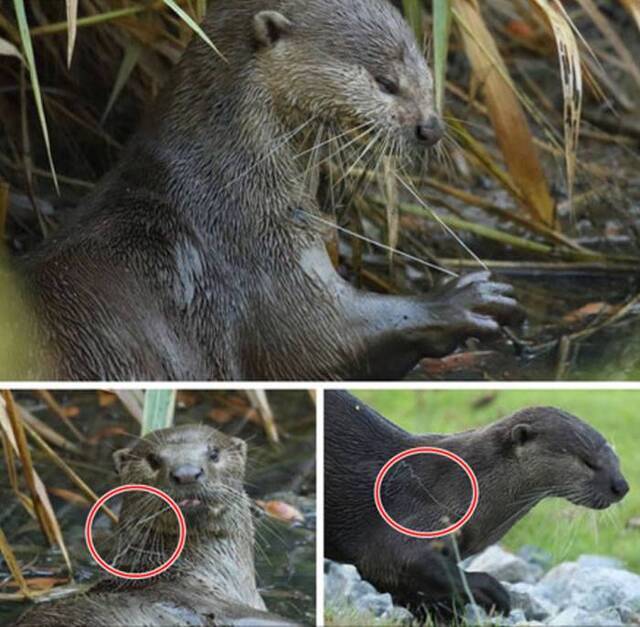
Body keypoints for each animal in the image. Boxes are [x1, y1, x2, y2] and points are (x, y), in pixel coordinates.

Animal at [17, 0, 524, 382]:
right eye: (386, 83)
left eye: (427, 73)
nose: (430, 127)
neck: (229, 179)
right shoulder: (254, 254)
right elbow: (317, 339)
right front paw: (460, 299)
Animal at [324, 392, 632, 620]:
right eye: (587, 462)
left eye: (615, 456)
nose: (622, 486)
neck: (456, 484)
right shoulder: (407, 518)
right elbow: (397, 560)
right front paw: (495, 595)